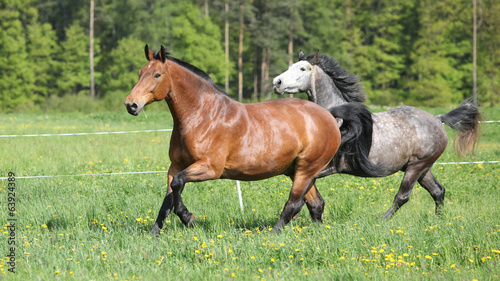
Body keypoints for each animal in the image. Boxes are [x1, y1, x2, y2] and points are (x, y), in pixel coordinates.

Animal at [127, 46, 342, 234]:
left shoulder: (210, 168)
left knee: (294, 203)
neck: (203, 115)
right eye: (139, 73)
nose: (131, 105)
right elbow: (168, 200)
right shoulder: (175, 166)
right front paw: (153, 234)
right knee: (316, 203)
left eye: (157, 75)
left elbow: (177, 185)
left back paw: (271, 235)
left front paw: (189, 219)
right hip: (297, 171)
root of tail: (328, 117)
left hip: (306, 170)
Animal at [272, 50, 482, 219]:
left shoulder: (326, 167)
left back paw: (383, 220)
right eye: (290, 66)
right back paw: (439, 219)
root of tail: (438, 119)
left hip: (417, 167)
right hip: (422, 168)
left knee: (403, 196)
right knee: (438, 191)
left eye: (302, 69)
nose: (277, 82)